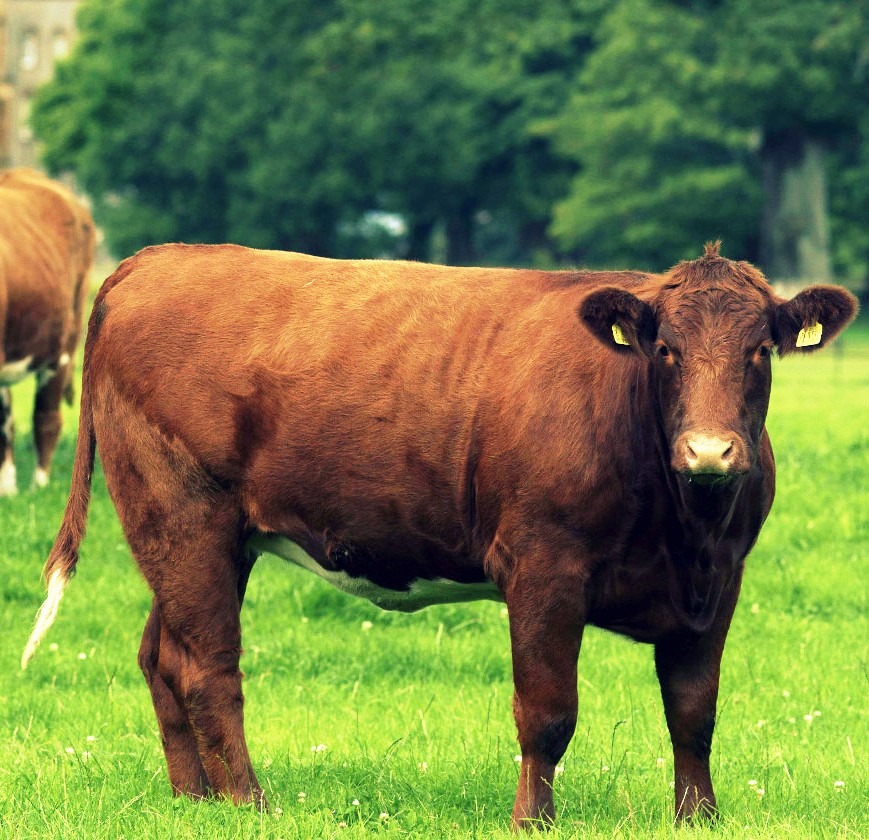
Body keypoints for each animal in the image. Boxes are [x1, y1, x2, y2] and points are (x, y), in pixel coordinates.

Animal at [22, 242, 856, 829]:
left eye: (759, 350)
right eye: (664, 350)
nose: (708, 452)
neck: (681, 526)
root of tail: (157, 259)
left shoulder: (717, 580)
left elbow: (693, 710)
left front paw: (697, 819)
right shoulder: (543, 567)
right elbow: (546, 711)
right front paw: (532, 821)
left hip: (197, 541)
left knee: (162, 656)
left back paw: (194, 803)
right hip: (183, 515)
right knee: (207, 669)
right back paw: (250, 805)